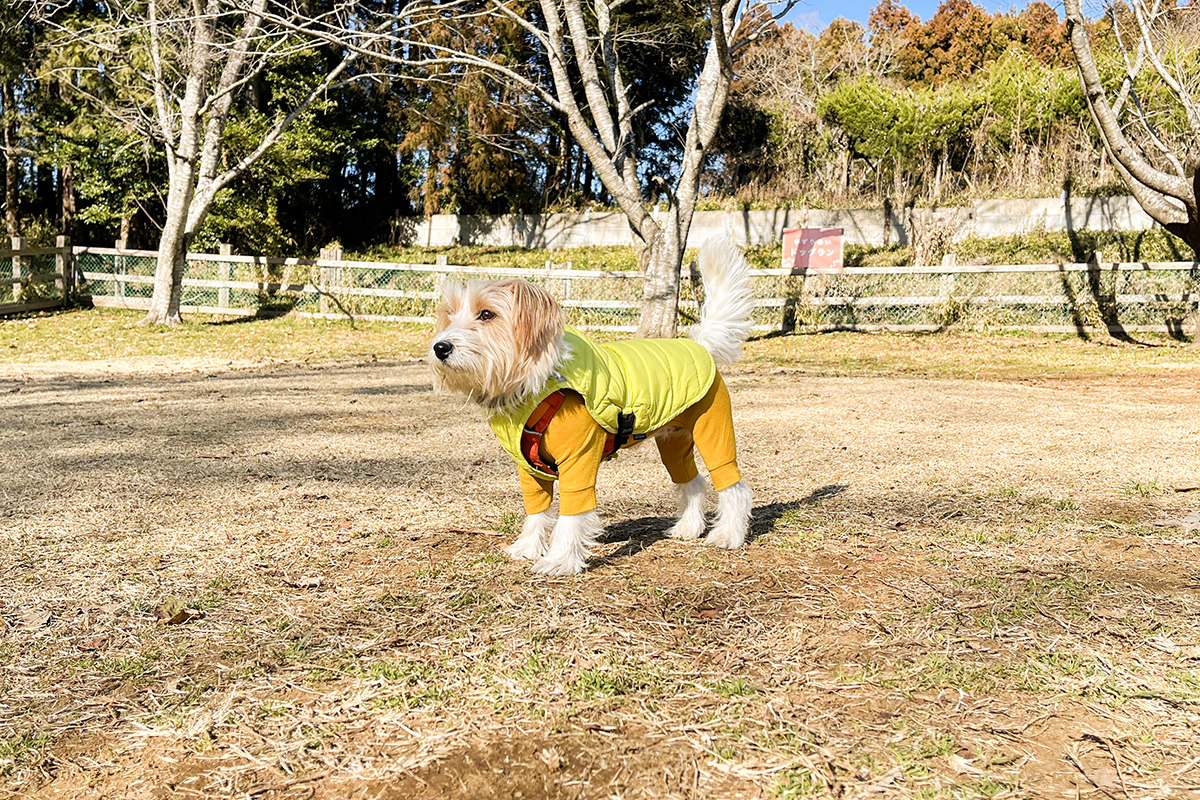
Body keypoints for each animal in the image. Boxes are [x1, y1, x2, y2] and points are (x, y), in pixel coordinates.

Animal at [427, 237, 753, 575]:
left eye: (487, 314)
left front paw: (559, 559)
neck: (535, 383)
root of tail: (699, 343)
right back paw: (687, 528)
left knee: (732, 484)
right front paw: (528, 548)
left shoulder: (578, 459)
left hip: (712, 430)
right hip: (673, 441)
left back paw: (728, 534)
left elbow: (572, 512)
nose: (440, 347)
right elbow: (536, 508)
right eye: (450, 314)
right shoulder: (529, 468)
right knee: (692, 481)